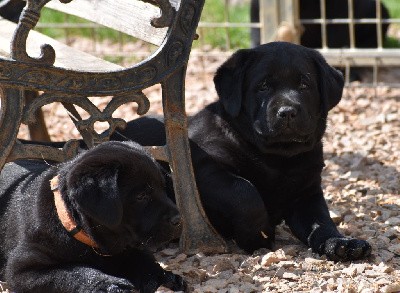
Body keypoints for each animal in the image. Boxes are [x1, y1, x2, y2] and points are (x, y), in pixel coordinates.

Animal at [0, 140, 186, 290]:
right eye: (142, 196)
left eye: (163, 188)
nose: (179, 220)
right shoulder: (22, 268)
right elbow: (69, 272)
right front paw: (108, 284)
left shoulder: (130, 247)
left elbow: (143, 260)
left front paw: (164, 277)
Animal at [112, 42, 368, 262]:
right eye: (263, 86)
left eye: (304, 85)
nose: (287, 111)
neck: (278, 160)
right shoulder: (200, 169)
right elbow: (244, 191)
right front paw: (258, 234)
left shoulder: (307, 193)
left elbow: (321, 222)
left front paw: (341, 243)